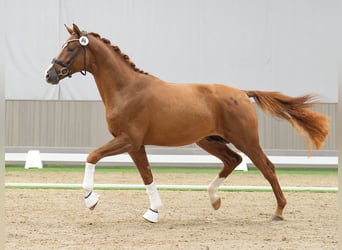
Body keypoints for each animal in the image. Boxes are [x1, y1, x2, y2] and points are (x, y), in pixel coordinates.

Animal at [44, 23, 328, 223]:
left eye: (71, 48)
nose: (49, 75)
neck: (127, 89)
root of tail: (241, 93)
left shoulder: (128, 140)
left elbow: (92, 156)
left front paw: (90, 199)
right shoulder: (135, 145)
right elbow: (146, 175)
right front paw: (153, 212)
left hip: (246, 140)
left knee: (266, 167)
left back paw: (278, 211)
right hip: (209, 140)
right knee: (232, 160)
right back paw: (214, 200)